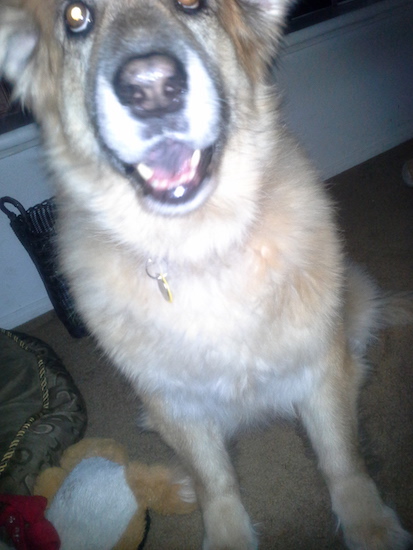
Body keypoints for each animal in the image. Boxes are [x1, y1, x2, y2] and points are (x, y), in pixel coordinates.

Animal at [0, 1, 408, 550]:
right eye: (76, 16)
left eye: (194, 5)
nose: (151, 88)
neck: (201, 247)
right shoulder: (177, 404)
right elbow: (213, 480)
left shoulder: (319, 366)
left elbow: (341, 457)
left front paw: (368, 523)